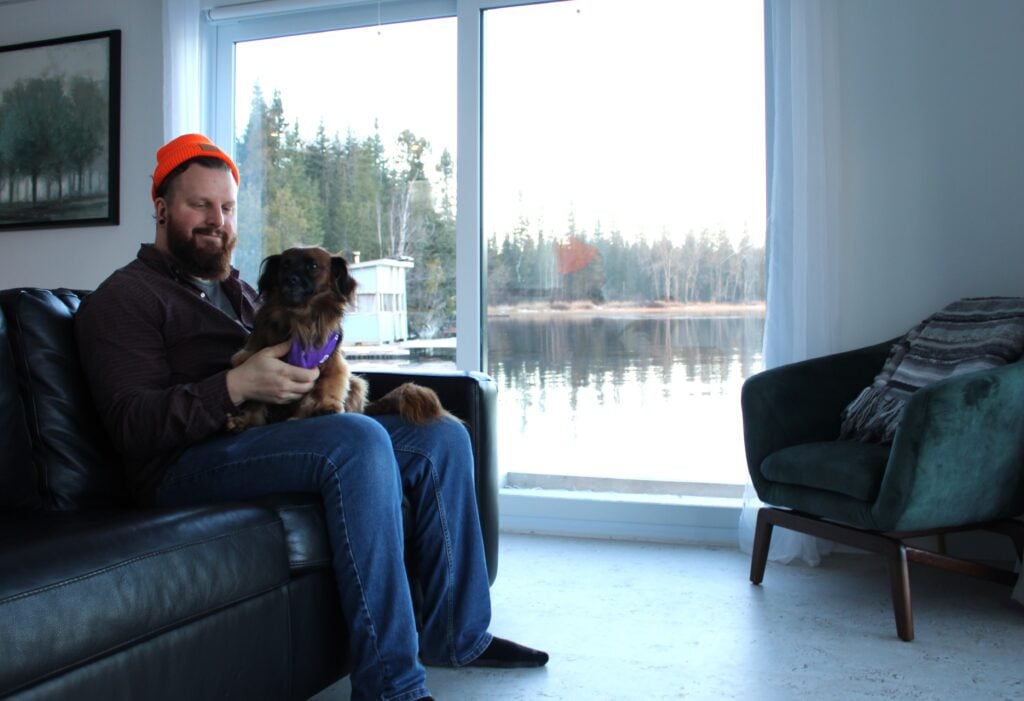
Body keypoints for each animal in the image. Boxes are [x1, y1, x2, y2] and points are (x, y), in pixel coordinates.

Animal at [226, 245, 450, 431]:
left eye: (312, 266)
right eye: (285, 266)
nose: (290, 279)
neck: (301, 318)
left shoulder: (333, 363)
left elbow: (326, 386)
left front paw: (324, 406)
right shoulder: (251, 355)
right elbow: (255, 400)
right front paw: (247, 420)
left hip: (357, 384)